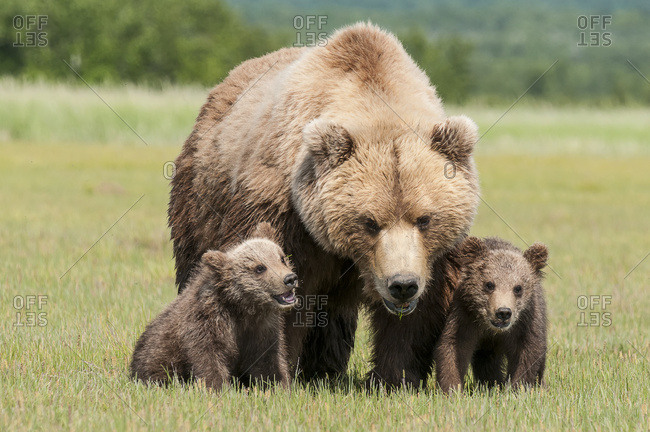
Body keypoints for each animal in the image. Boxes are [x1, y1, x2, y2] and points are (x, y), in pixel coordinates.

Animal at [170, 22, 478, 388]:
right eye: (369, 221)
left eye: (425, 219)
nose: (402, 285)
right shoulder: (284, 213)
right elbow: (279, 287)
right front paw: (277, 373)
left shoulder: (432, 255)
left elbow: (419, 314)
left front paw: (395, 377)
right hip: (199, 198)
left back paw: (325, 370)